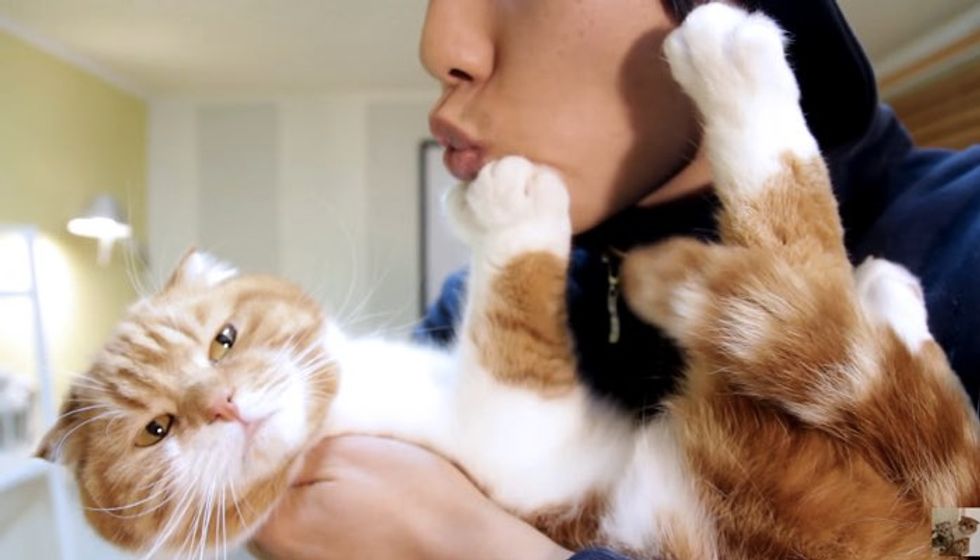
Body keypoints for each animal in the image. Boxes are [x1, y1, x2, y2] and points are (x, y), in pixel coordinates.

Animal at [34, 4, 976, 560]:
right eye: (156, 431)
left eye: (222, 340)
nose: (225, 407)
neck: (347, 402)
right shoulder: (523, 439)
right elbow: (517, 311)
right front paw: (511, 202)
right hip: (756, 457)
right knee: (797, 246)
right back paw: (732, 60)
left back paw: (889, 293)